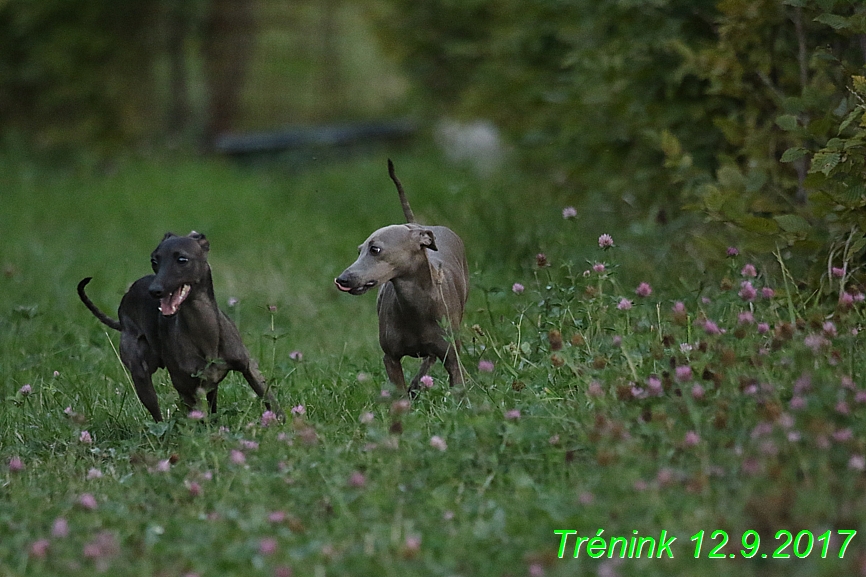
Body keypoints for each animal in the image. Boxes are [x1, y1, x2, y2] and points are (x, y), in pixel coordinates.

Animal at [77, 231, 280, 424]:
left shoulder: (248, 368)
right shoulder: (185, 386)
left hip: (209, 388)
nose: (154, 291)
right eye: (154, 260)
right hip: (142, 375)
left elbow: (269, 399)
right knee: (158, 417)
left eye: (182, 259)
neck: (205, 331)